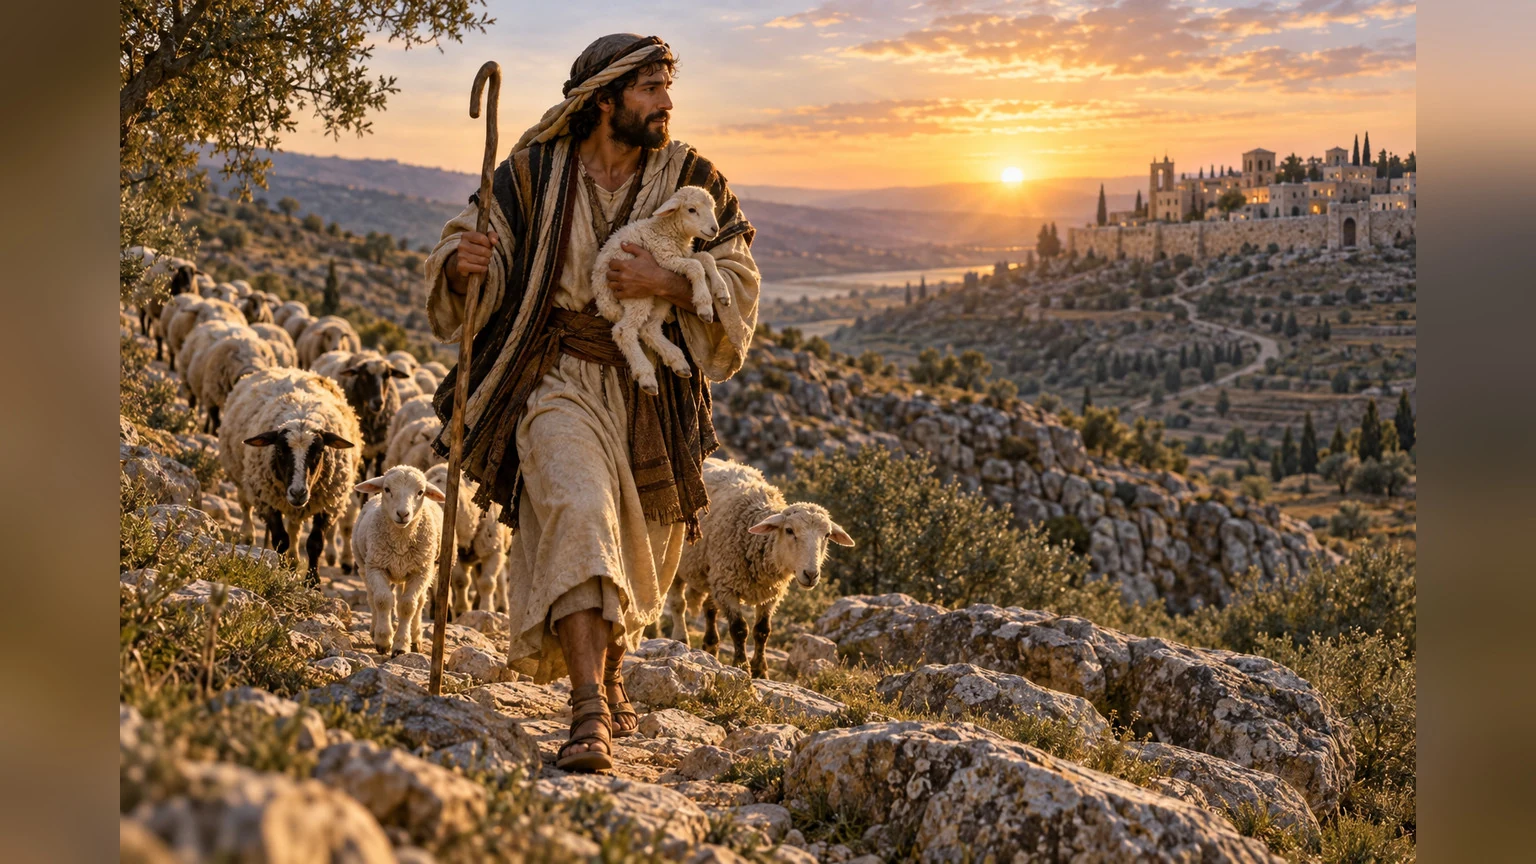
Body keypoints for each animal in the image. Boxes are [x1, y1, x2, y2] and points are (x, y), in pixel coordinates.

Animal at [219, 367, 362, 583]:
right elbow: (280, 540)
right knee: (245, 506)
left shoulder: (329, 503)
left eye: (319, 452)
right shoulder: (266, 500)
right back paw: (248, 536)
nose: (297, 493)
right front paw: (281, 573)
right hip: (242, 477)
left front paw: (313, 583)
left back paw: (294, 560)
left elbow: (314, 543)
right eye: (279, 450)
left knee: (295, 526)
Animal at [351, 466, 445, 655]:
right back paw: (374, 629)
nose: (403, 514)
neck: (401, 539)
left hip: (423, 570)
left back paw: (415, 638)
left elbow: (408, 605)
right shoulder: (376, 567)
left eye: (420, 492)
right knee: (372, 598)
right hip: (365, 567)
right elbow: (383, 600)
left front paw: (401, 645)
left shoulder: (420, 572)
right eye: (387, 489)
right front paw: (383, 640)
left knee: (419, 602)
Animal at [589, 185, 733, 395]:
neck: (667, 230)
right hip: (638, 295)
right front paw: (704, 305)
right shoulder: (665, 258)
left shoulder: (683, 254)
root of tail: (602, 300)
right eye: (691, 210)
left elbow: (706, 258)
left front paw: (722, 293)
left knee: (649, 328)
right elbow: (696, 266)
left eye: (713, 208)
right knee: (624, 331)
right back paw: (647, 376)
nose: (714, 229)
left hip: (661, 294)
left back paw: (677, 360)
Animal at [665, 458, 854, 678]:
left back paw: (711, 646)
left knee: (710, 609)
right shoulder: (727, 586)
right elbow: (739, 629)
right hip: (677, 564)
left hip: (712, 574)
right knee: (678, 604)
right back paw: (681, 639)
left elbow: (762, 631)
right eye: (789, 530)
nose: (811, 574)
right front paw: (741, 666)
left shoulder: (770, 593)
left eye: (827, 535)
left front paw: (760, 670)